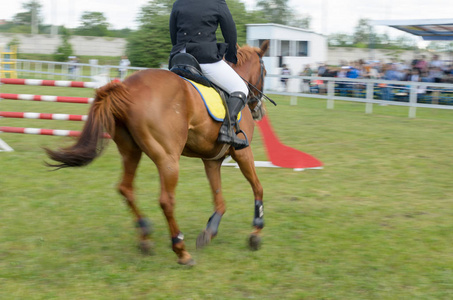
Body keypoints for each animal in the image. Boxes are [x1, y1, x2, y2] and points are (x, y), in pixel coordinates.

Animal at [45, 40, 268, 264]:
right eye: (265, 71)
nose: (259, 110)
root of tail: (127, 87)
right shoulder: (242, 153)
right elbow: (258, 188)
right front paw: (256, 232)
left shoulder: (211, 160)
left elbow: (219, 198)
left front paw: (209, 231)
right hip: (168, 159)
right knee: (166, 200)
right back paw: (180, 249)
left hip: (131, 151)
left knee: (126, 188)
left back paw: (145, 234)